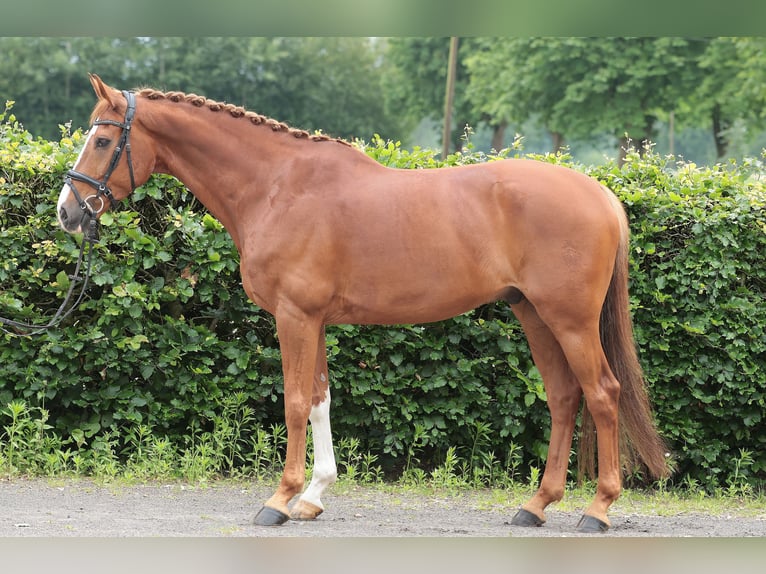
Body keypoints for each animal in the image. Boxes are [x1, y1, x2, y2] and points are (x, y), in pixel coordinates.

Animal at [58, 74, 669, 533]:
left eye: (104, 141)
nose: (68, 212)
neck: (278, 186)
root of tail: (603, 195)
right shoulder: (315, 320)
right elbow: (320, 400)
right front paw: (313, 496)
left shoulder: (295, 317)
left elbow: (294, 402)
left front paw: (279, 500)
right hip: (534, 314)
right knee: (564, 398)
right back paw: (535, 506)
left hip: (570, 321)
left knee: (603, 394)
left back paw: (598, 510)